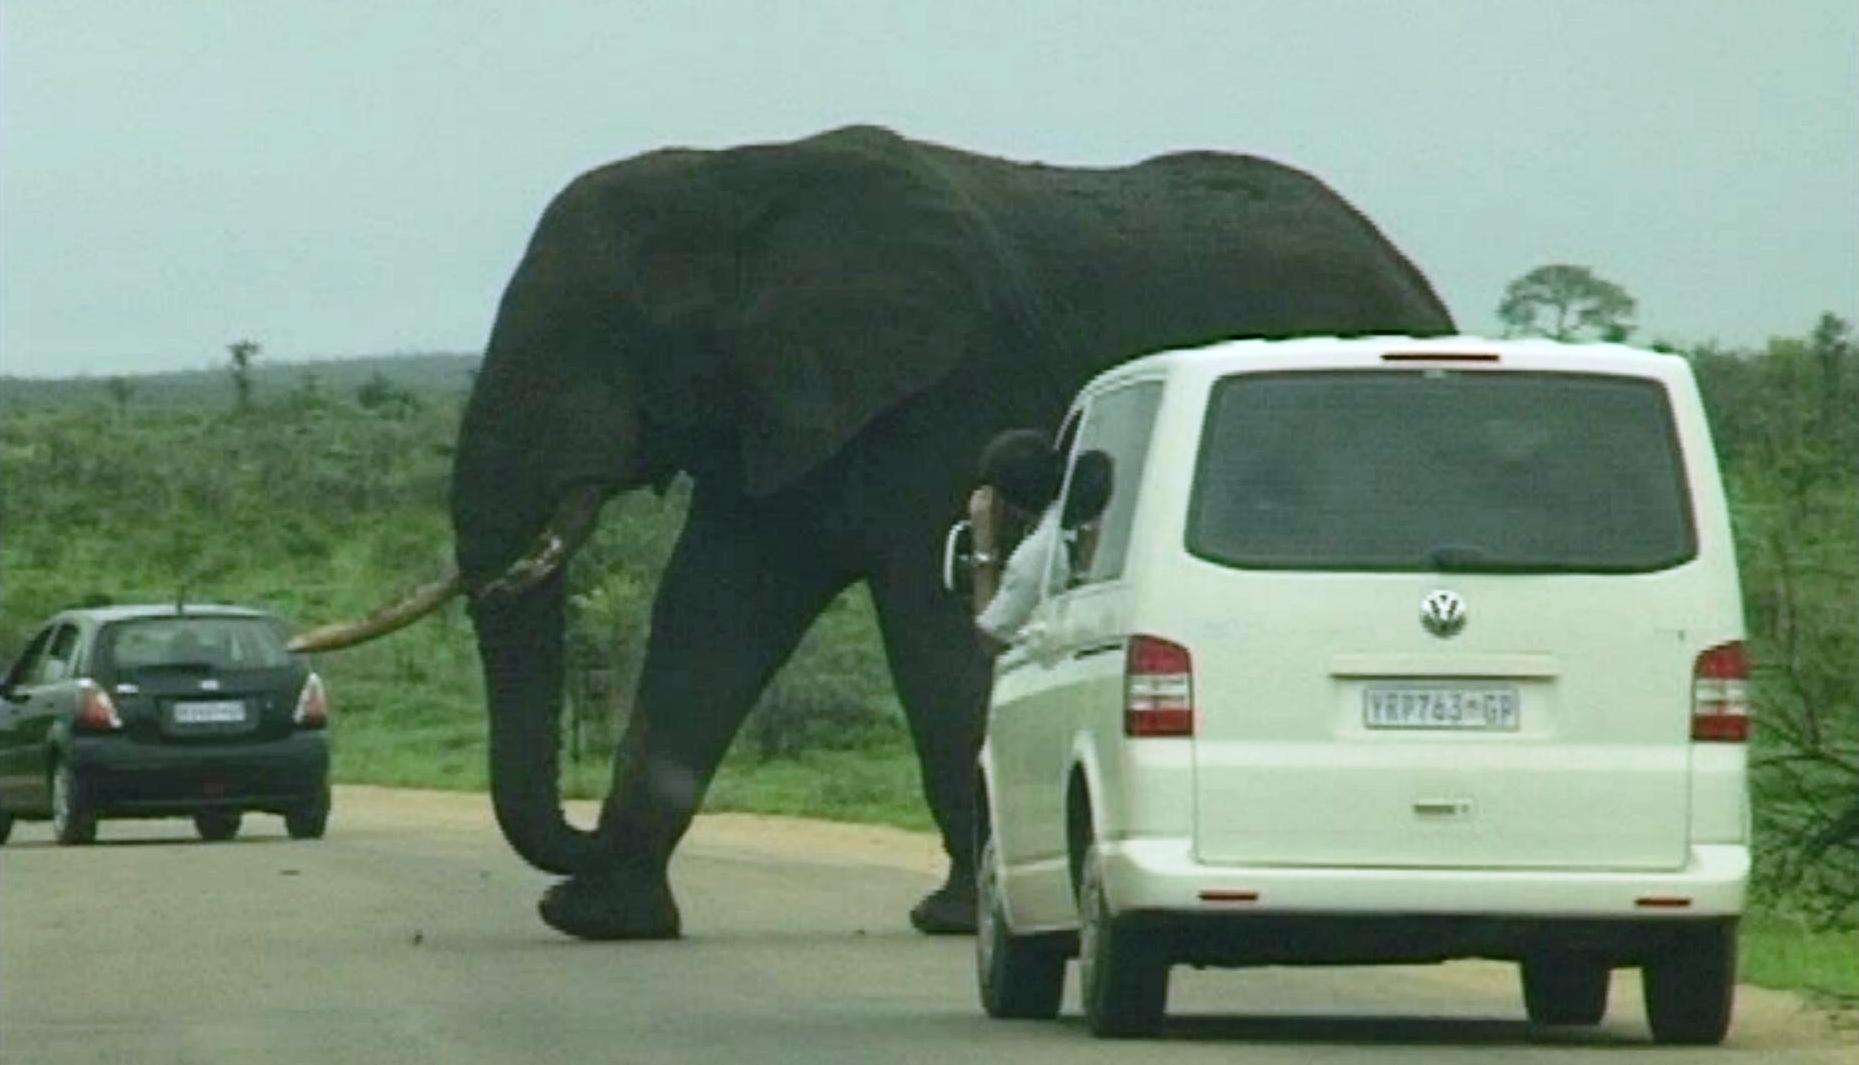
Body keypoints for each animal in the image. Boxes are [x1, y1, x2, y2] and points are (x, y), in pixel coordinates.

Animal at [290, 126, 1450, 936]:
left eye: (615, 337)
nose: (572, 841)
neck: (741, 182)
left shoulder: (941, 396)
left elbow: (928, 625)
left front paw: (955, 917)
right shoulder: (778, 406)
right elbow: (711, 610)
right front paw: (597, 922)